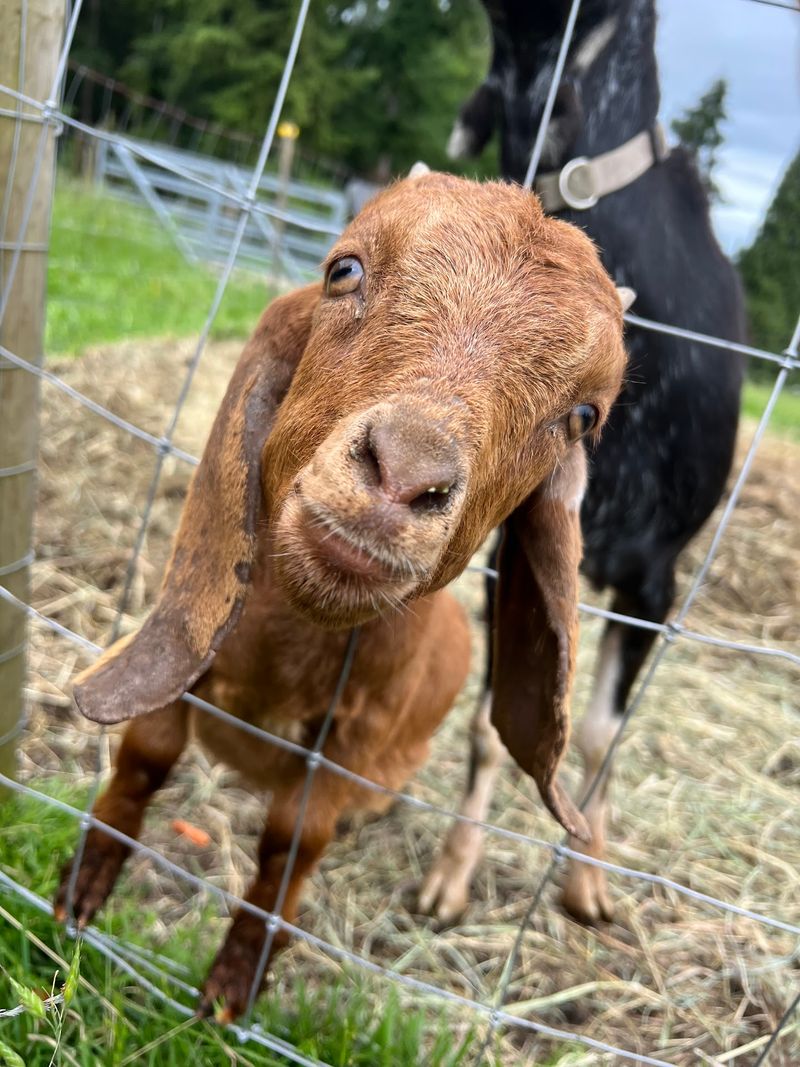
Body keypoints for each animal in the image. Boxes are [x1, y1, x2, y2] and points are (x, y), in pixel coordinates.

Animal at [54, 169, 629, 1020]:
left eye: (583, 414)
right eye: (344, 269)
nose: (404, 471)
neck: (283, 655)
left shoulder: (348, 742)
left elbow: (292, 842)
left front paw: (234, 983)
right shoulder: (191, 642)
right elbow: (145, 753)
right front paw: (83, 887)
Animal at [419, 0, 746, 925]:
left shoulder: (653, 580)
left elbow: (601, 733)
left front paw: (587, 875)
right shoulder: (508, 554)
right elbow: (493, 722)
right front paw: (452, 873)